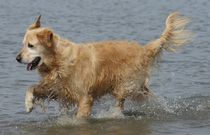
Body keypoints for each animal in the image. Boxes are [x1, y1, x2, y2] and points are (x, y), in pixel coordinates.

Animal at [16, 12, 190, 118]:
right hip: (136, 86)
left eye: (31, 46)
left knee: (121, 102)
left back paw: (115, 114)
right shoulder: (56, 88)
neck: (59, 61)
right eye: (23, 44)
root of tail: (143, 49)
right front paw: (28, 104)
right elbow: (31, 87)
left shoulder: (85, 97)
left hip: (125, 84)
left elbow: (80, 117)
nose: (17, 58)